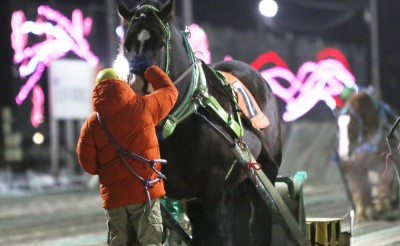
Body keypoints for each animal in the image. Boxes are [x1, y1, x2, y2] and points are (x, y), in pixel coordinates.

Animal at [115, 0, 282, 244]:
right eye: (126, 45)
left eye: (159, 43)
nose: (136, 90)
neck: (177, 123)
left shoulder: (210, 193)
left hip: (266, 168)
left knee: (260, 220)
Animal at [338, 90, 400, 223]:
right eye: (338, 128)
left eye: (351, 127)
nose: (344, 154)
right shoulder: (354, 169)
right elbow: (360, 191)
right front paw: (362, 215)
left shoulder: (386, 163)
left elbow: (383, 185)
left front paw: (382, 208)